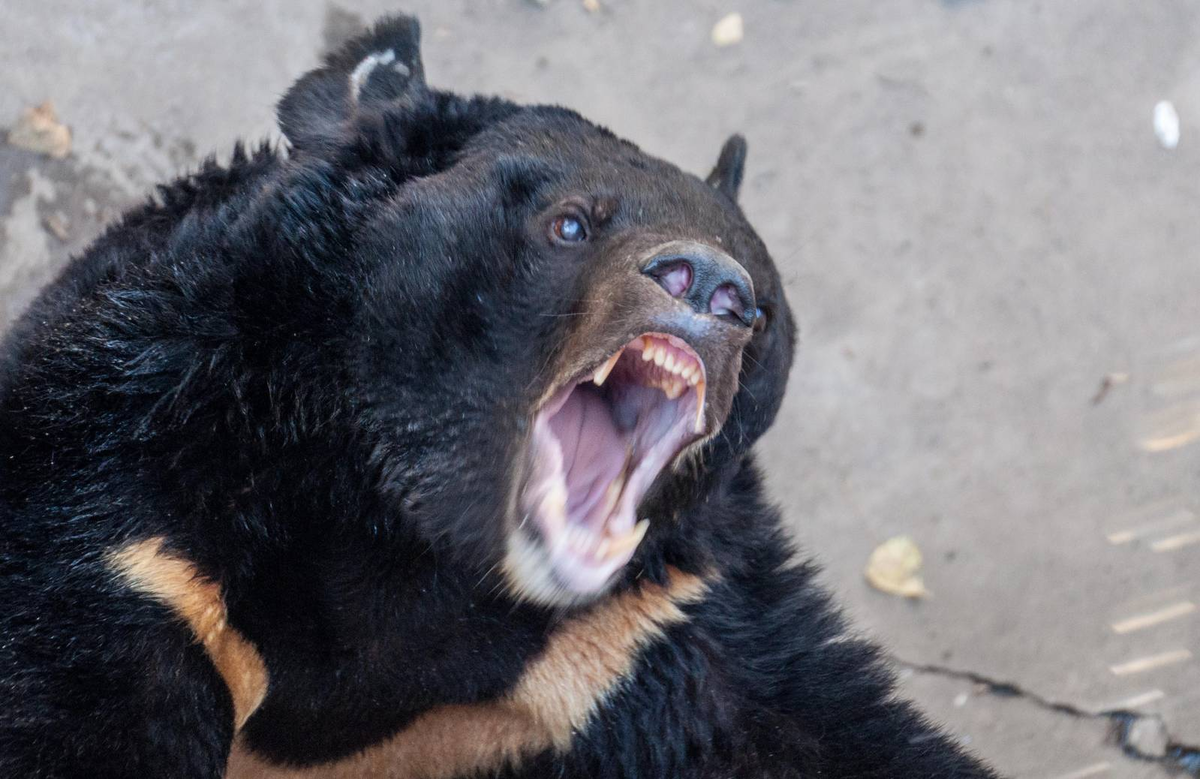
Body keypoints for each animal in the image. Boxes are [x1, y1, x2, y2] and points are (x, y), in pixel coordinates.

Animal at [0, 13, 993, 777]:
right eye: (570, 224)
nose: (715, 291)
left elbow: (818, 728)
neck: (421, 544)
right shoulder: (145, 534)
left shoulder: (637, 637)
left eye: (765, 306)